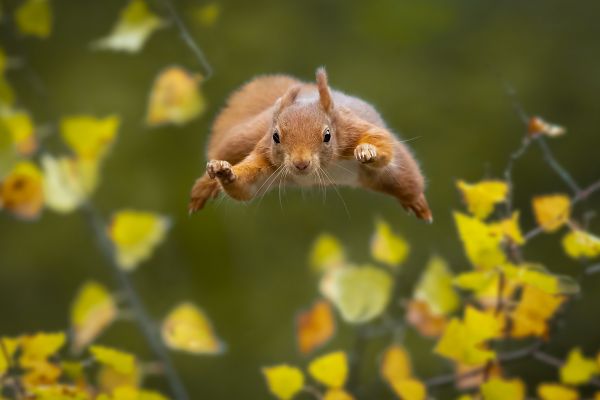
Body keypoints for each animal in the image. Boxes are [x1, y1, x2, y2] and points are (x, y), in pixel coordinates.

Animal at [188, 66, 432, 222]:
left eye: (327, 135)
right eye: (275, 136)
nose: (300, 164)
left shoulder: (353, 129)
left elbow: (381, 142)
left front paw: (367, 150)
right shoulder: (265, 156)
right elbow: (245, 187)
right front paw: (225, 172)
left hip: (395, 176)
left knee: (408, 183)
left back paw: (419, 204)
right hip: (242, 138)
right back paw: (205, 186)